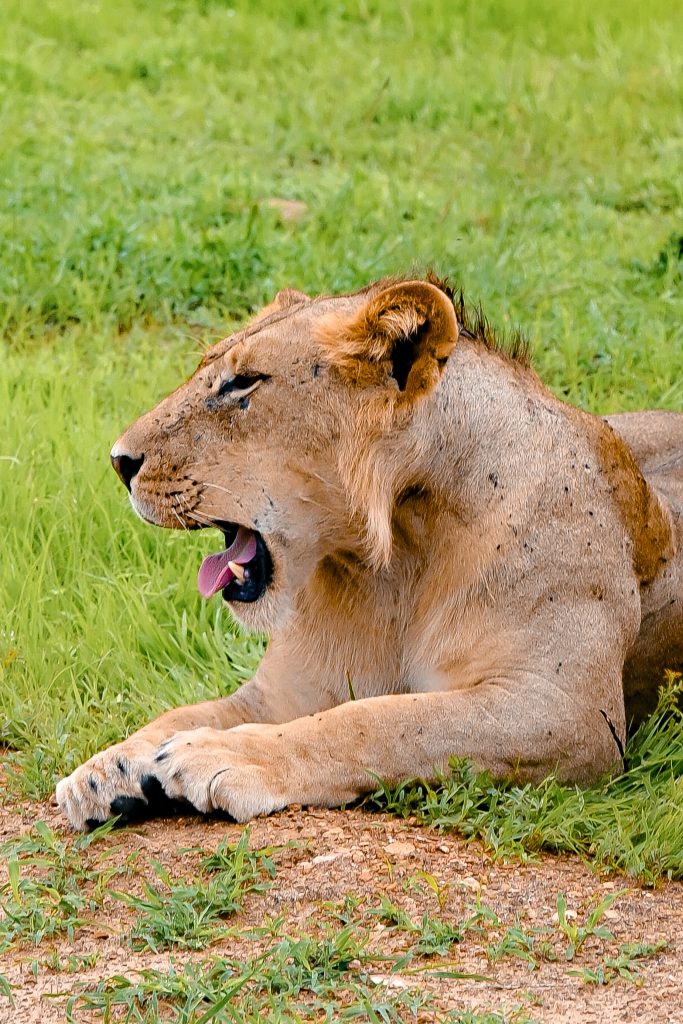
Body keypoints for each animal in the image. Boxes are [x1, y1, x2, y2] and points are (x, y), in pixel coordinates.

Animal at [56, 277, 683, 830]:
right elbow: (185, 713)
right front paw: (111, 767)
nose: (118, 460)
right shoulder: (282, 691)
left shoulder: (570, 714)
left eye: (242, 384)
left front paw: (219, 755)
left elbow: (383, 721)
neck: (398, 558)